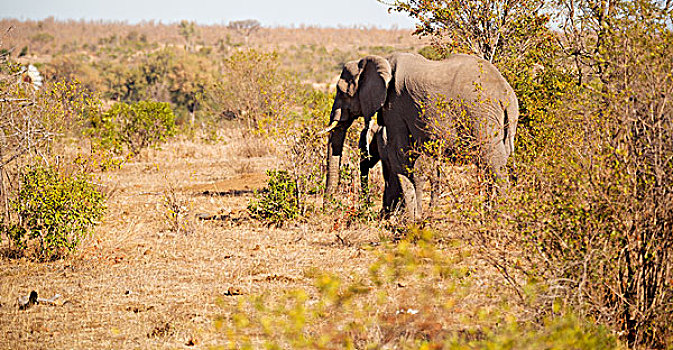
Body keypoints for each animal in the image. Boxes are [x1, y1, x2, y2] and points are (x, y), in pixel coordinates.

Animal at [322, 52, 516, 219]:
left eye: (342, 92)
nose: (327, 208)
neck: (380, 61)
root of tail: (506, 94)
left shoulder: (394, 105)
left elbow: (400, 154)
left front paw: (408, 220)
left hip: (481, 115)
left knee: (493, 163)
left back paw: (500, 218)